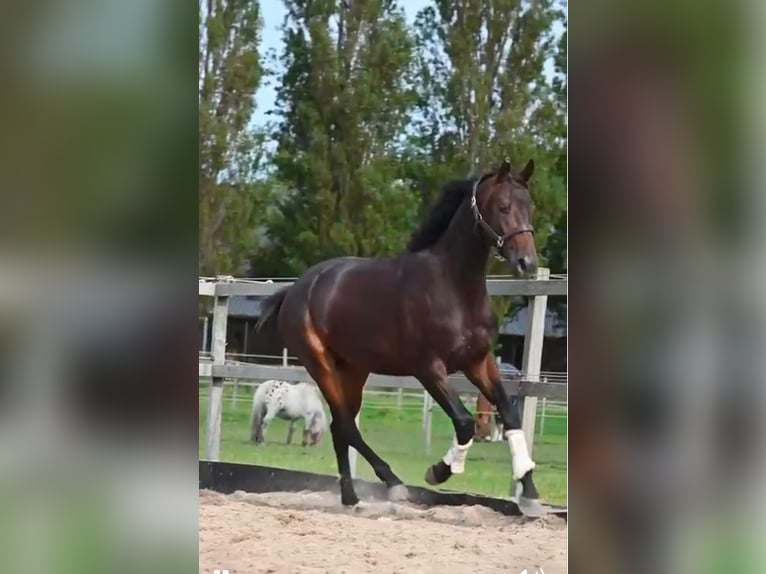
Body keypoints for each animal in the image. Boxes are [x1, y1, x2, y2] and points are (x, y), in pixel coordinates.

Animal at [255, 159, 544, 516]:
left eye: (529, 206)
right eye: (503, 207)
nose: (527, 262)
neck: (454, 288)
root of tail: (296, 288)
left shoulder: (478, 362)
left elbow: (510, 415)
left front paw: (529, 492)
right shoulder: (428, 368)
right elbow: (464, 423)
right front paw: (439, 471)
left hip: (354, 370)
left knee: (340, 428)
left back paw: (351, 498)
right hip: (321, 365)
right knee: (346, 426)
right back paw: (392, 484)